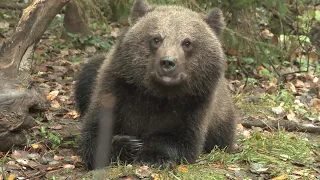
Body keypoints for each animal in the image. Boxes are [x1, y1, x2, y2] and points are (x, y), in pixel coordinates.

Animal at [74, 0, 235, 170]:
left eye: (187, 42)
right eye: (156, 39)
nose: (168, 62)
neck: (156, 94)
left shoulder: (194, 103)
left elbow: (181, 139)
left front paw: (153, 156)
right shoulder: (118, 90)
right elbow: (96, 132)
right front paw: (129, 145)